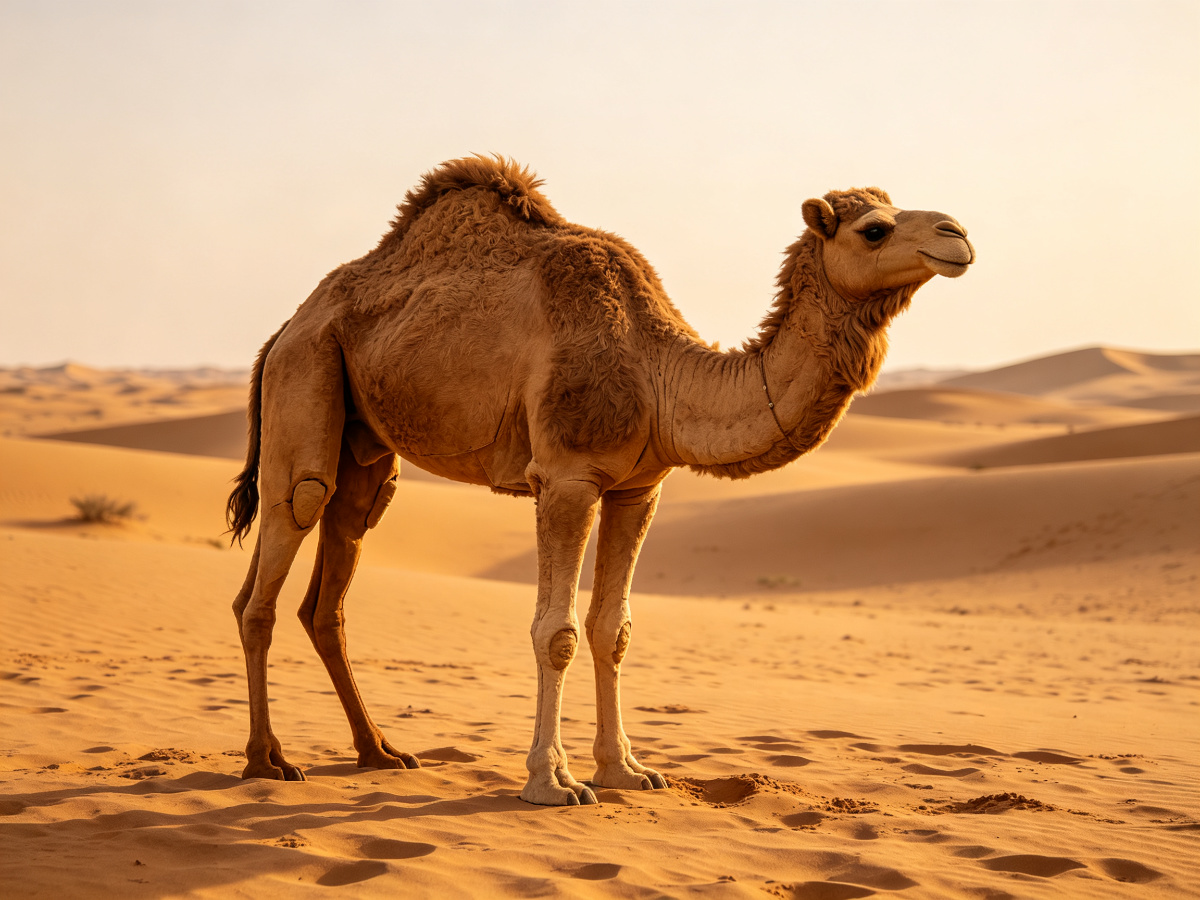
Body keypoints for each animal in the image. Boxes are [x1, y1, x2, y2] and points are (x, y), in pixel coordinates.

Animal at [226, 155, 974, 806]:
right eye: (873, 229)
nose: (958, 235)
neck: (658, 371)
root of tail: (285, 326)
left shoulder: (637, 488)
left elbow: (612, 627)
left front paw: (627, 771)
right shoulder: (566, 477)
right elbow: (554, 631)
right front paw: (551, 782)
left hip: (365, 442)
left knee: (333, 573)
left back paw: (379, 752)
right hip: (308, 373)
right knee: (287, 530)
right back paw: (268, 760)